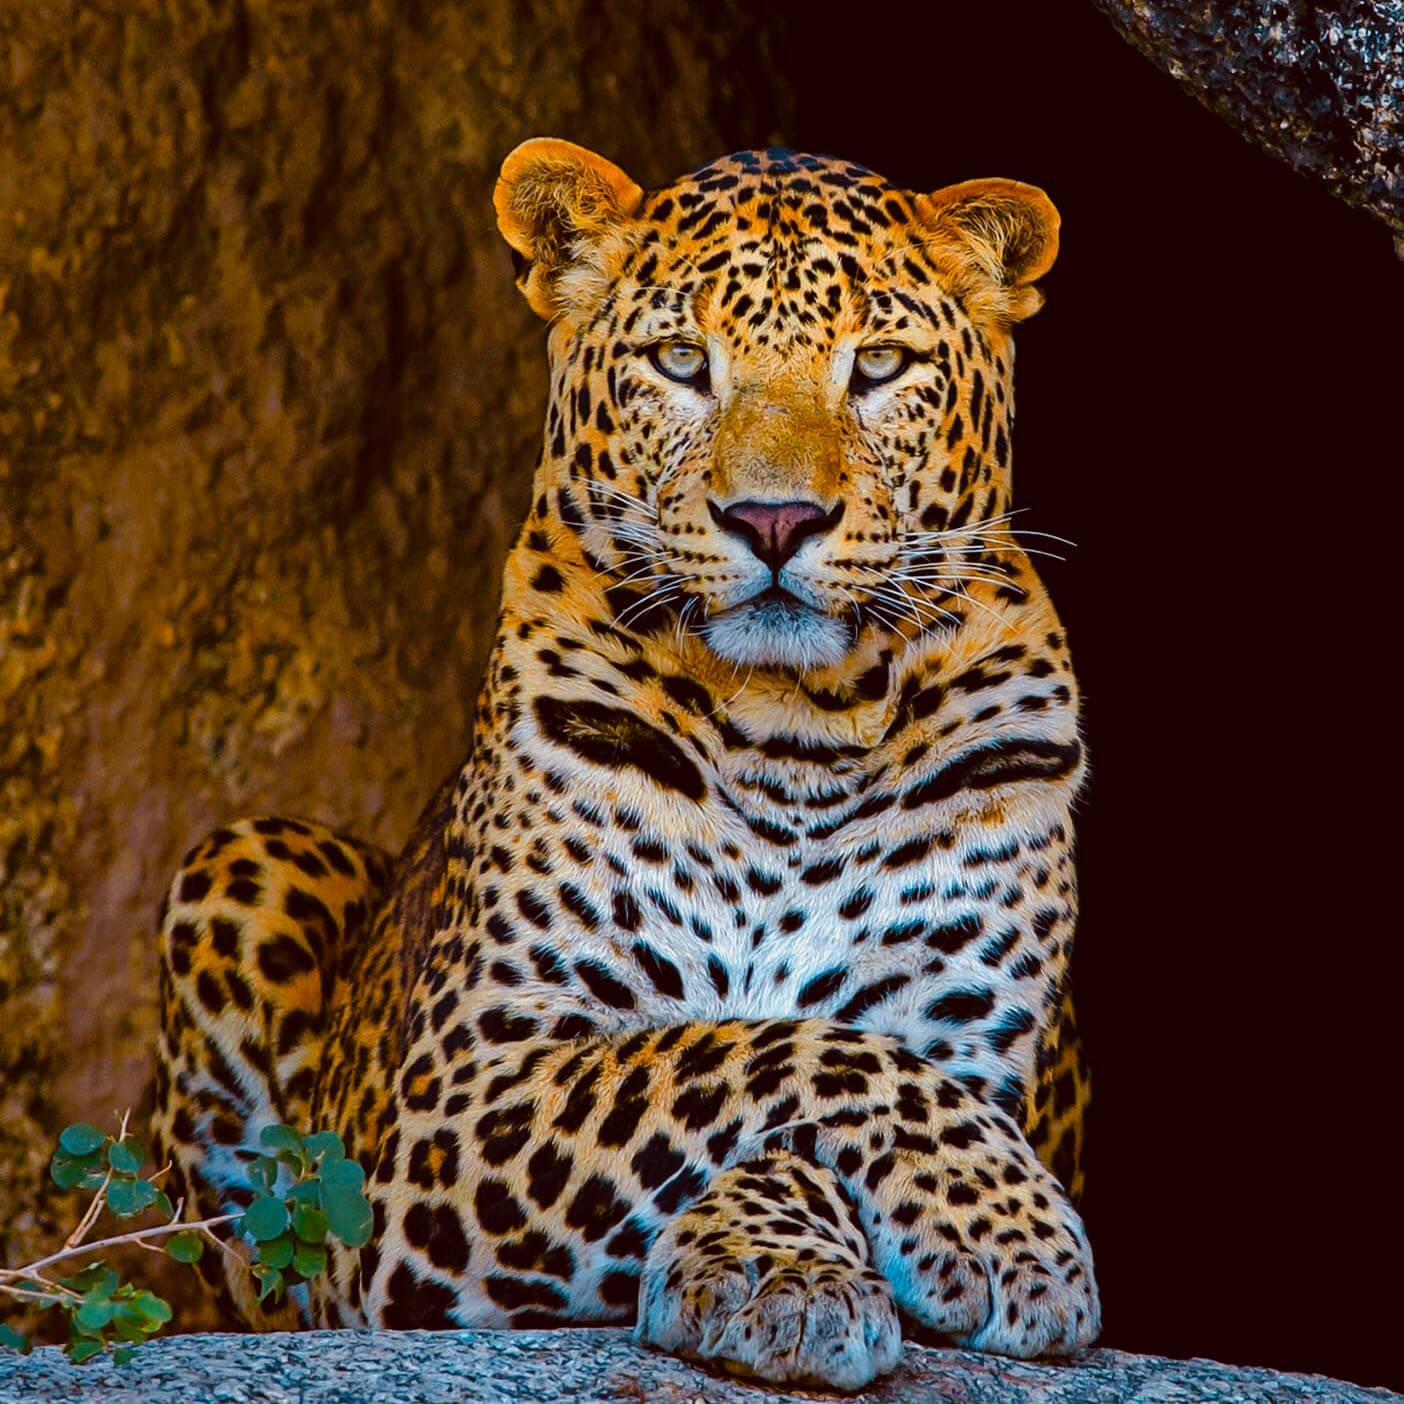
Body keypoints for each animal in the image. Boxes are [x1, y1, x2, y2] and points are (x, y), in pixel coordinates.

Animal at [151, 138, 1098, 1392]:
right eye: (682, 361)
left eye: (881, 365)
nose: (777, 520)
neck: (795, 729)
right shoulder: (460, 1095)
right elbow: (763, 1052)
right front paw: (945, 1239)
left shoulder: (971, 1044)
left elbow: (831, 1065)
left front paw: (840, 1254)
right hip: (247, 856)